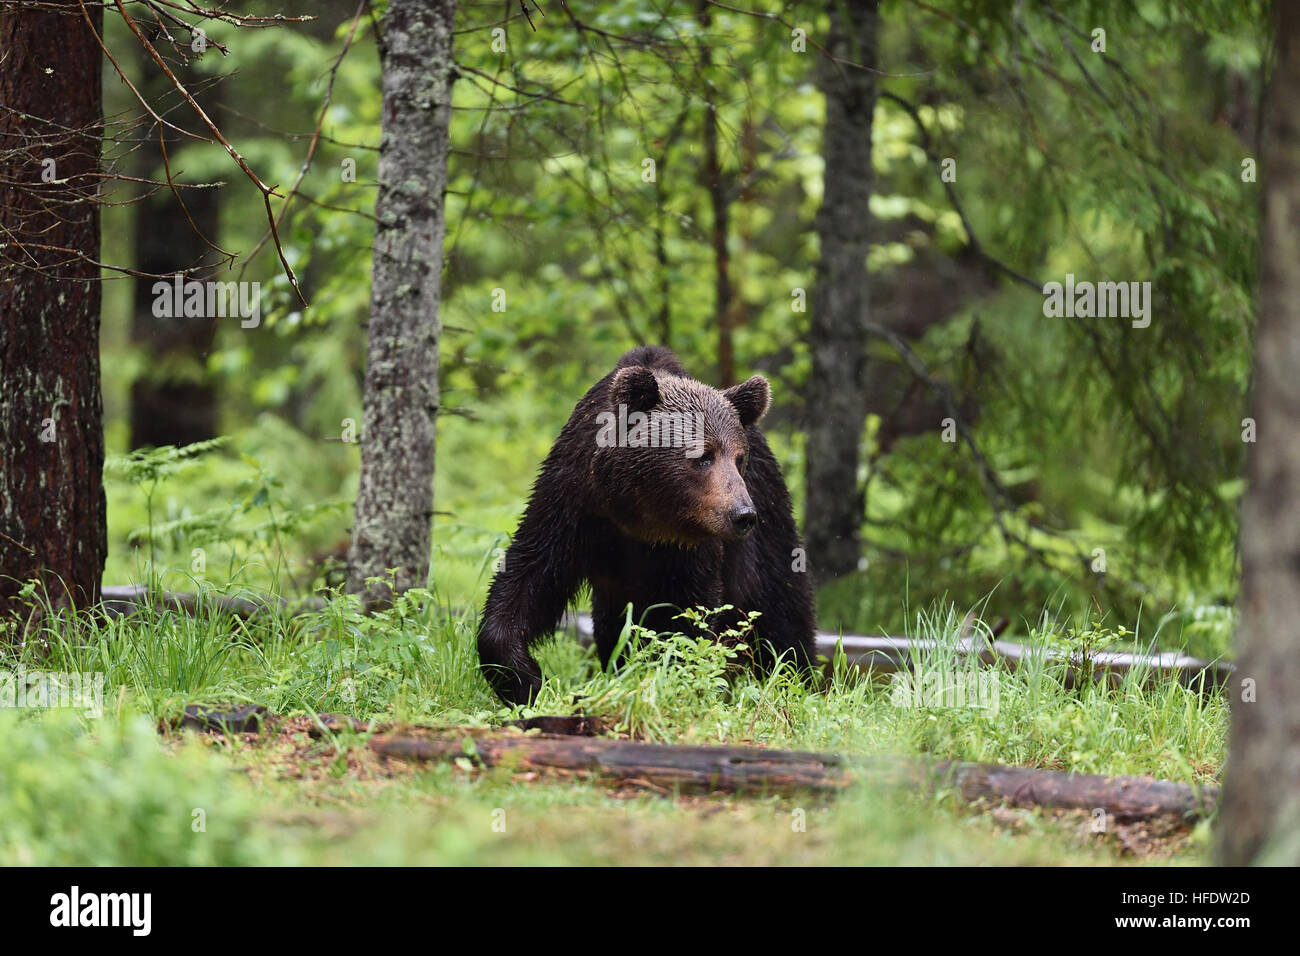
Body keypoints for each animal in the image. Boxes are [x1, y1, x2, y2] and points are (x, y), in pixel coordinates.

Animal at [477, 345, 817, 705]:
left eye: (739, 459)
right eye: (703, 456)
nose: (742, 514)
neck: (637, 513)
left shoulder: (690, 549)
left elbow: (686, 619)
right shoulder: (572, 503)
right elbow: (529, 574)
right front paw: (525, 678)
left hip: (769, 522)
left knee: (782, 610)